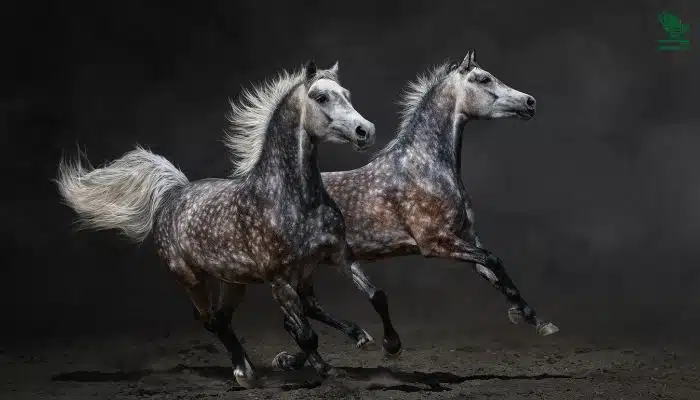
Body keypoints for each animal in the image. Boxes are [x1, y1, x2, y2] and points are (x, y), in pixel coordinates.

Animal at [56, 61, 401, 388]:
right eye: (321, 97)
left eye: (347, 94)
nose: (365, 130)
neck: (292, 197)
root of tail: (173, 194)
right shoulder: (278, 280)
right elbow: (306, 334)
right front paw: (319, 368)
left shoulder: (338, 255)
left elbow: (376, 296)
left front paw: (390, 345)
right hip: (192, 278)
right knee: (213, 320)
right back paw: (244, 372)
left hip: (236, 281)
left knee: (247, 315)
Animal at [272, 50, 559, 370]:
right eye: (484, 79)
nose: (529, 102)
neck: (425, 167)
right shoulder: (435, 243)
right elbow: (493, 260)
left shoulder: (467, 238)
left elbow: (495, 270)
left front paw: (536, 320)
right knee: (297, 315)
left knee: (301, 313)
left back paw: (301, 356)